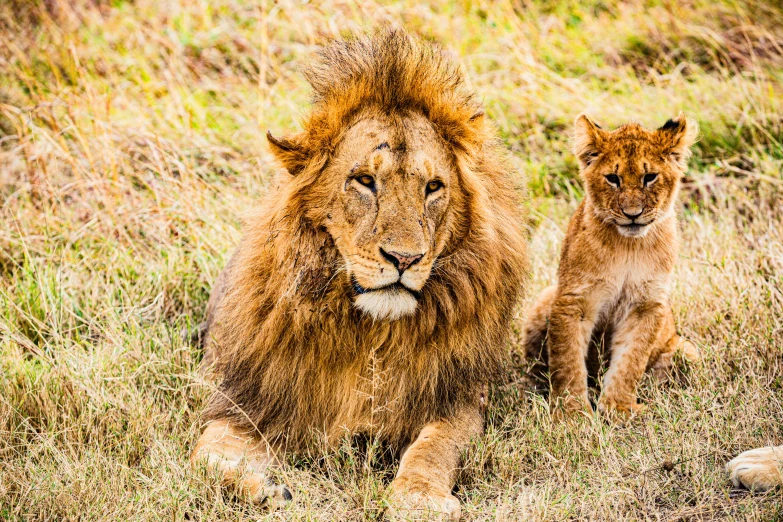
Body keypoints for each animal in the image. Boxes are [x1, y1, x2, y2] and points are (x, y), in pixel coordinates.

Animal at [192, 30, 528, 516]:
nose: (404, 259)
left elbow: (433, 448)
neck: (372, 333)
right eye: (365, 181)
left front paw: (418, 501)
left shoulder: (459, 397)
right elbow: (204, 459)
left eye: (433, 187)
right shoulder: (248, 399)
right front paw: (269, 489)